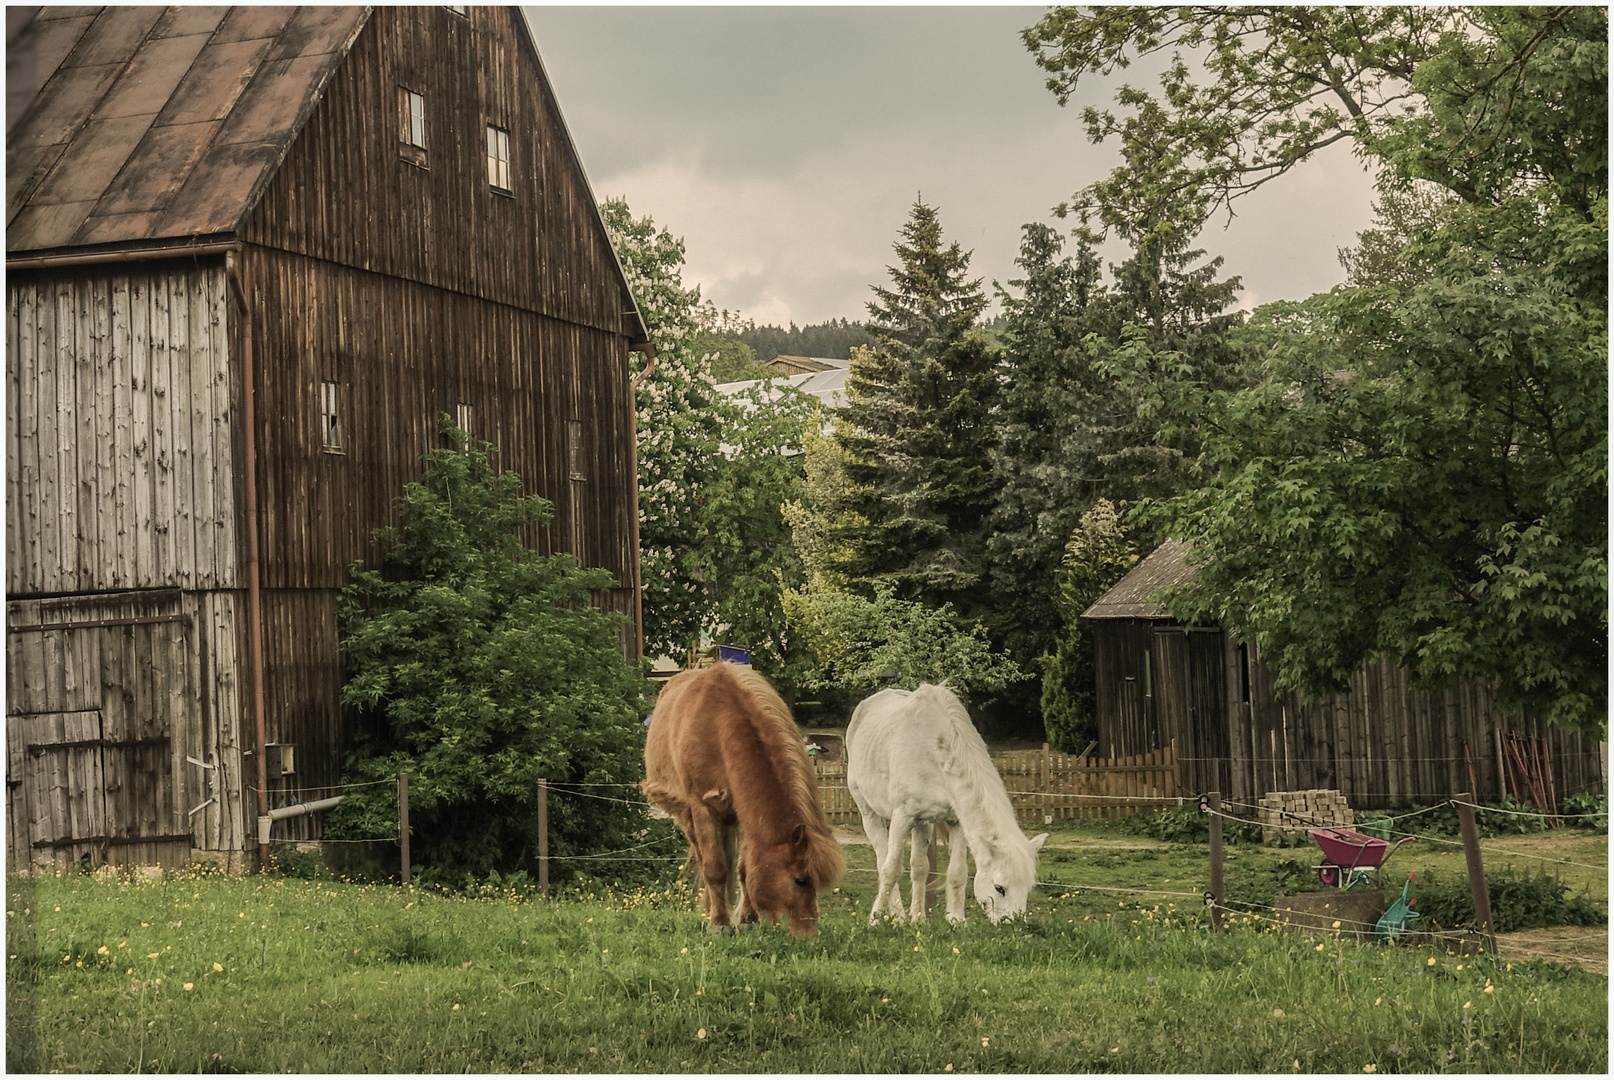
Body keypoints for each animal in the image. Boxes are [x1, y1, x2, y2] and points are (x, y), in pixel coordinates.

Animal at [642, 661, 845, 929]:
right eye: (799, 880)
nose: (809, 929)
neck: (719, 726)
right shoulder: (702, 808)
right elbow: (714, 868)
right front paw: (720, 922)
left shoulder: (746, 813)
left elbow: (744, 869)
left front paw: (748, 919)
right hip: (687, 815)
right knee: (702, 857)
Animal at [845, 681, 1045, 929]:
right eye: (1000, 888)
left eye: (1028, 888)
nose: (1014, 926)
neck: (933, 747)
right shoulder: (902, 817)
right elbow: (890, 870)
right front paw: (873, 920)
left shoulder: (955, 820)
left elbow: (957, 872)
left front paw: (956, 920)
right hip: (869, 812)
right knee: (883, 860)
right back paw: (897, 917)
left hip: (923, 823)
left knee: (919, 868)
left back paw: (917, 918)